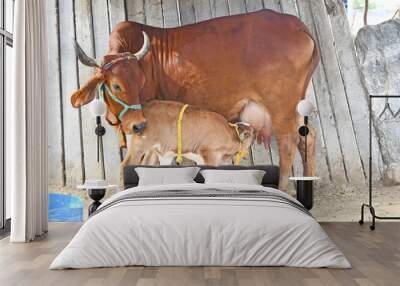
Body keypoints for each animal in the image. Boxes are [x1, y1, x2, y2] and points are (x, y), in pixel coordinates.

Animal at [71, 10, 318, 191]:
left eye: (141, 81)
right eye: (116, 85)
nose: (138, 125)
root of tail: (295, 23)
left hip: (281, 108)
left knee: (288, 145)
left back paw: (284, 190)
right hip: (296, 105)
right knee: (307, 137)